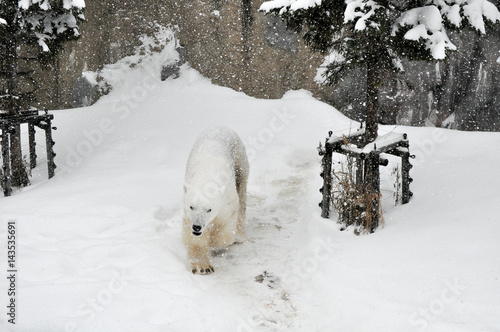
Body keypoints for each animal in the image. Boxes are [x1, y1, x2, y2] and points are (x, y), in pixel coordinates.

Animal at [183, 126, 249, 274]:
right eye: (191, 206)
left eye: (209, 209)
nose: (197, 227)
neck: (206, 176)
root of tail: (221, 126)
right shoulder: (188, 211)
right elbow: (194, 238)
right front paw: (202, 267)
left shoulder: (227, 200)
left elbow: (225, 226)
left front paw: (213, 241)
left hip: (239, 161)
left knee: (242, 195)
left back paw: (239, 236)